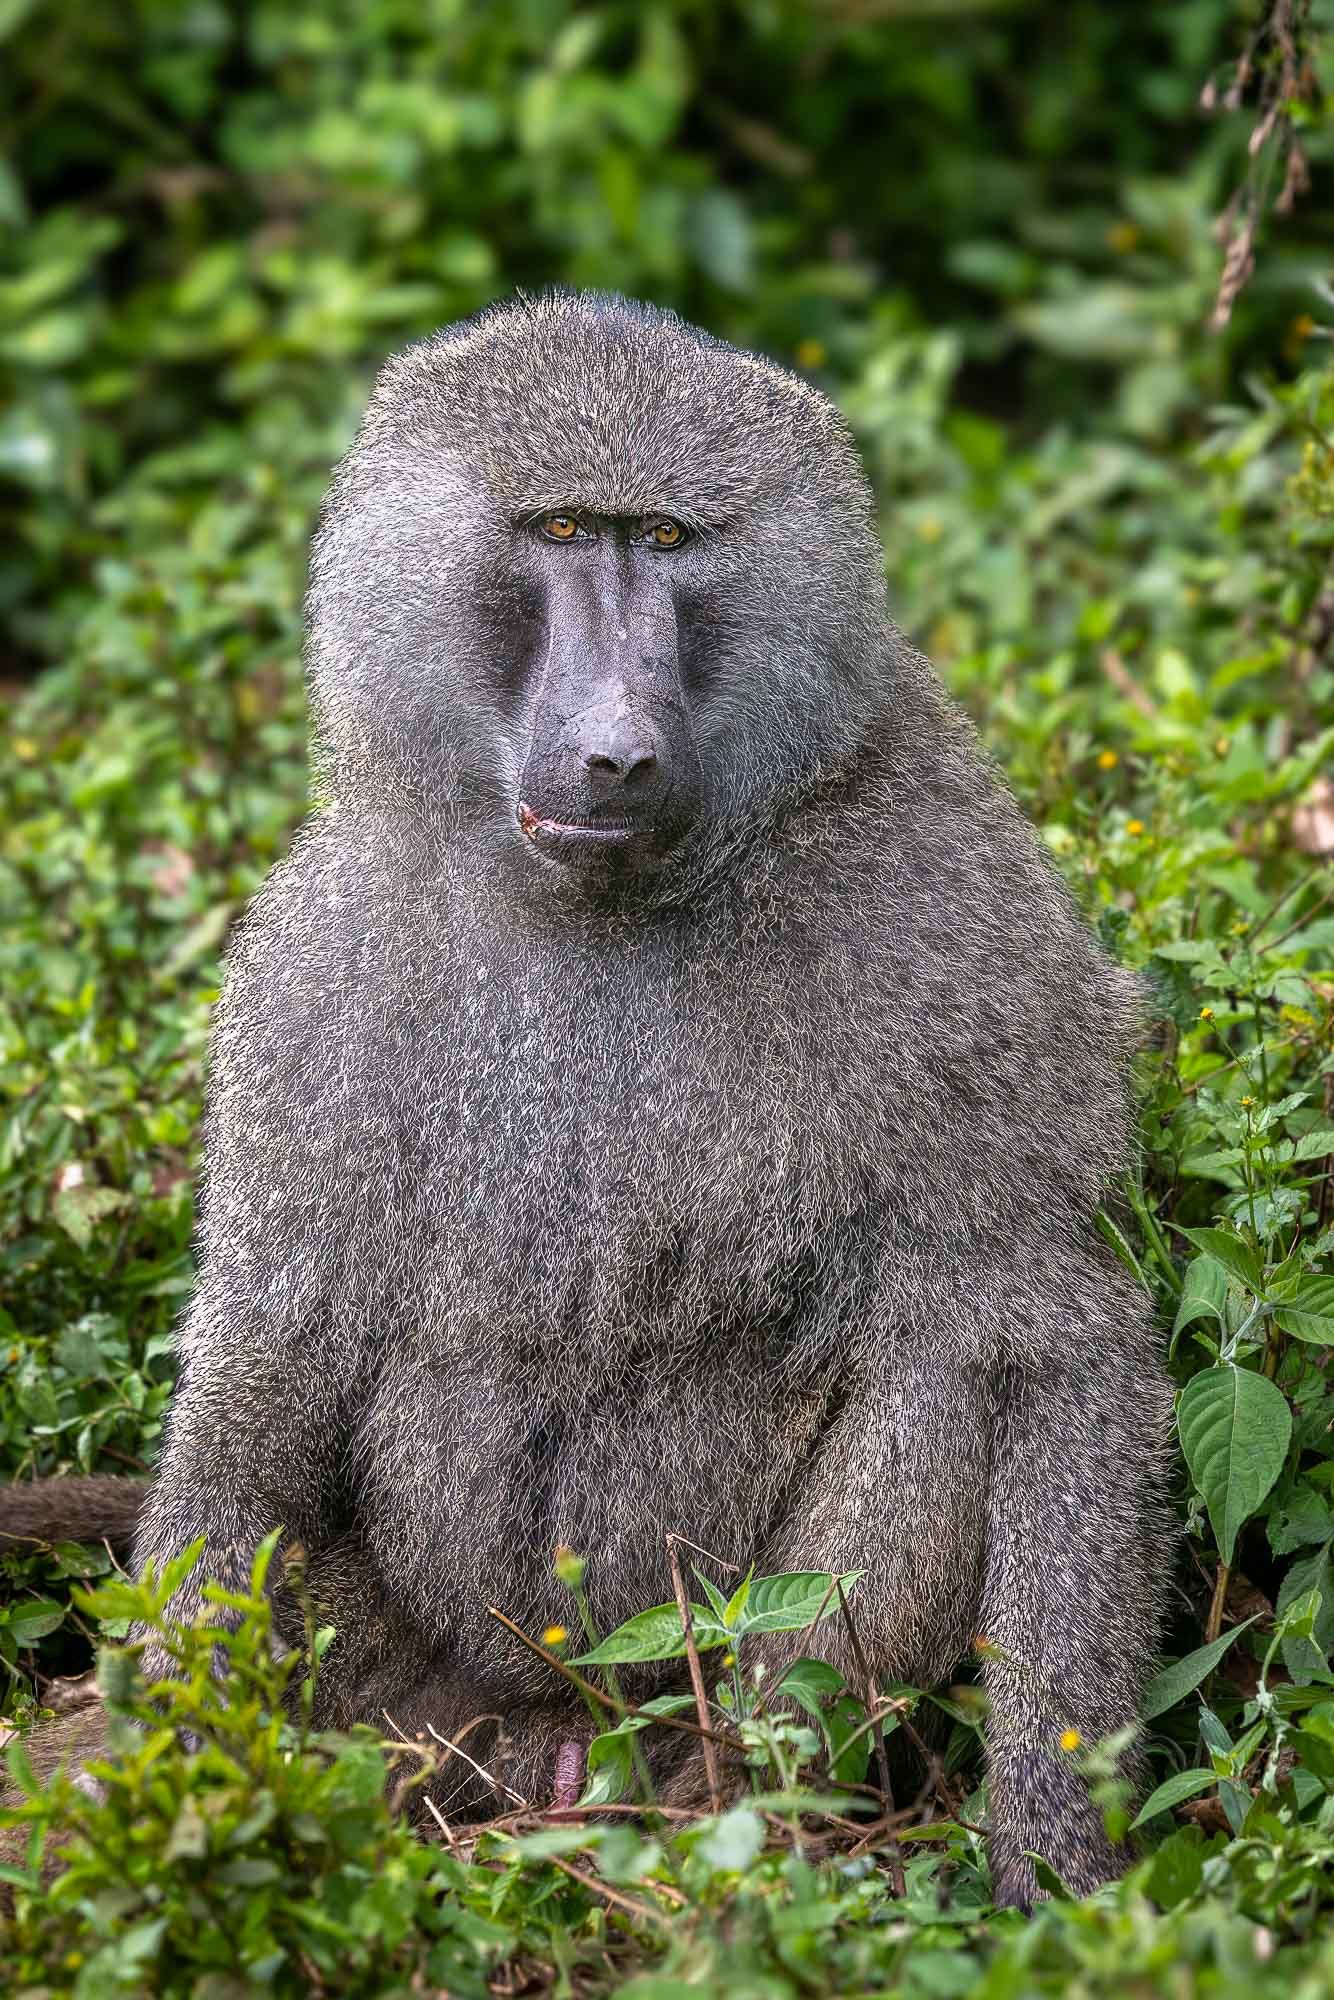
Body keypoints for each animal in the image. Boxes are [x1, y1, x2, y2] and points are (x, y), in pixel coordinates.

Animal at [6, 293, 1172, 1910]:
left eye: (666, 541)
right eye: (562, 528)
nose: (618, 748)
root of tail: (552, 1735)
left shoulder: (950, 912)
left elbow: (1048, 1330)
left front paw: (1056, 1877)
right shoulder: (313, 967)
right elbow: (272, 1351)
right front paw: (170, 1795)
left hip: (700, 1673)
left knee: (944, 1361)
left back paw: (739, 1806)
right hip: (415, 1694)